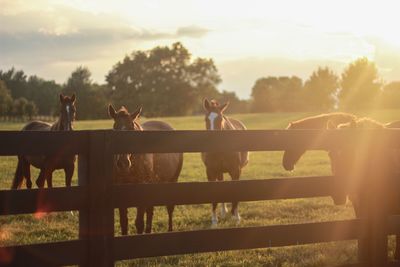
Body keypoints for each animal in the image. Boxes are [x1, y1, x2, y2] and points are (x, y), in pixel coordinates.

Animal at [109, 105, 184, 237]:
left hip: (172, 181)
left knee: (169, 208)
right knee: (150, 211)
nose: (123, 163)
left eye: (131, 128)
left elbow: (139, 222)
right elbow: (124, 222)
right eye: (115, 128)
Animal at [202, 99, 248, 227]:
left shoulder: (236, 171)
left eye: (220, 119)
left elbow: (235, 193)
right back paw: (223, 212)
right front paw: (214, 221)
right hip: (219, 172)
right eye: (206, 119)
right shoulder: (211, 172)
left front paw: (236, 217)